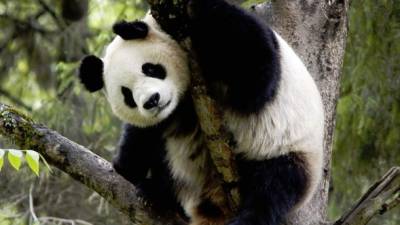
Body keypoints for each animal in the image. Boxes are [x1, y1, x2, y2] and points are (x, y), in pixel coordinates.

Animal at [77, 0, 324, 225]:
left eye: (150, 69)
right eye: (127, 95)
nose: (151, 101)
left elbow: (254, 74)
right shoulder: (164, 117)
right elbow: (140, 139)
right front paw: (125, 167)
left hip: (288, 151)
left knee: (272, 187)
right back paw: (157, 192)